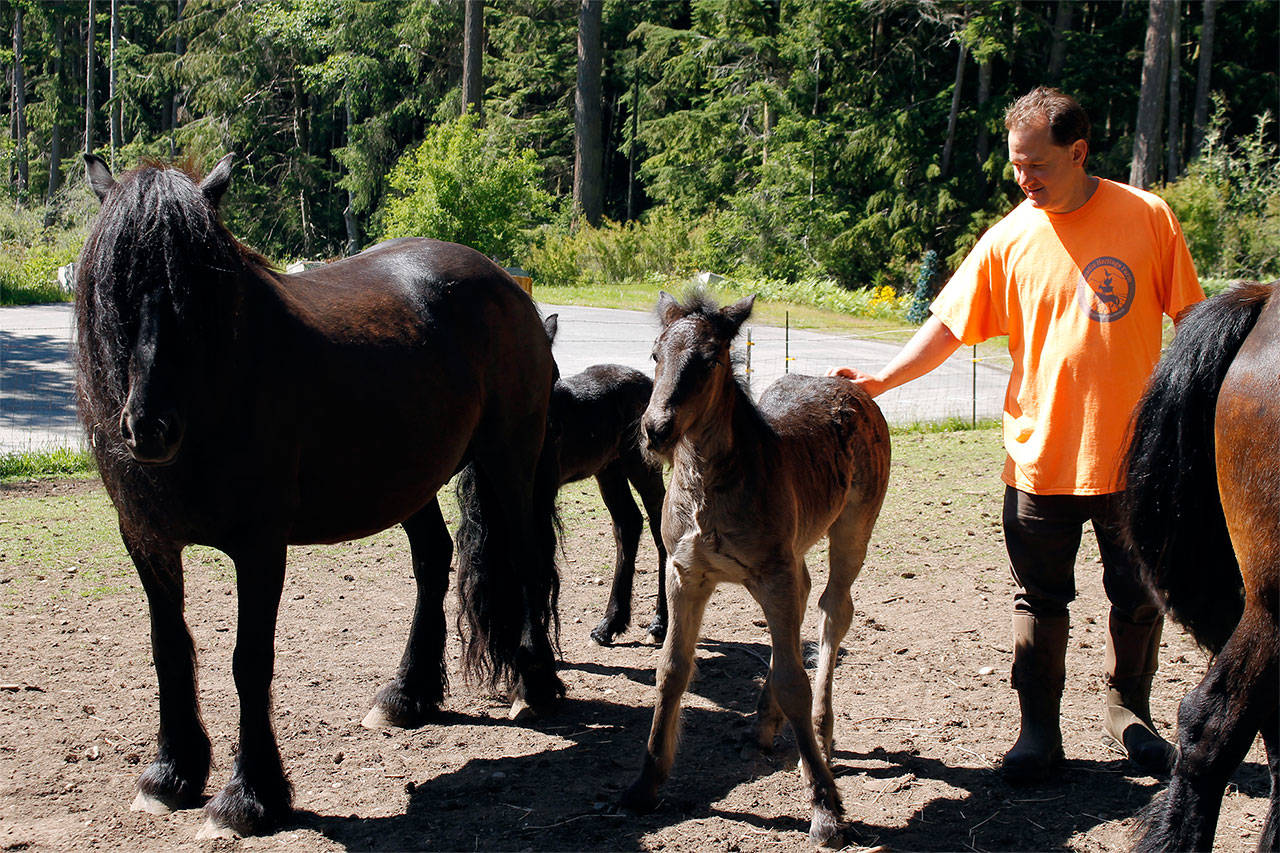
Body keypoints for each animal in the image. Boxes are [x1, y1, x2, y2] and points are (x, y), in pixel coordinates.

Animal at [74, 154, 563, 835]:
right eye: (114, 287)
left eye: (196, 292)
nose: (150, 428)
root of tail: (508, 286)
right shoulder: (147, 542)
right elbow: (169, 650)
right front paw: (171, 774)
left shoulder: (259, 546)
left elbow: (250, 662)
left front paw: (249, 797)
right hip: (412, 482)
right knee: (433, 561)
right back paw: (407, 695)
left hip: (508, 460)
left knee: (523, 559)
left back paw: (534, 686)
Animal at [619, 289, 890, 840]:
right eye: (655, 355)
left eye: (708, 360)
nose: (655, 431)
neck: (710, 486)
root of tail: (852, 386)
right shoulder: (686, 574)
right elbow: (672, 669)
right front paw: (645, 783)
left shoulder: (772, 575)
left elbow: (794, 679)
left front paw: (825, 805)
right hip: (789, 557)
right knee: (806, 601)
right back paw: (765, 724)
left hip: (853, 528)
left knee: (834, 609)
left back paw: (821, 734)